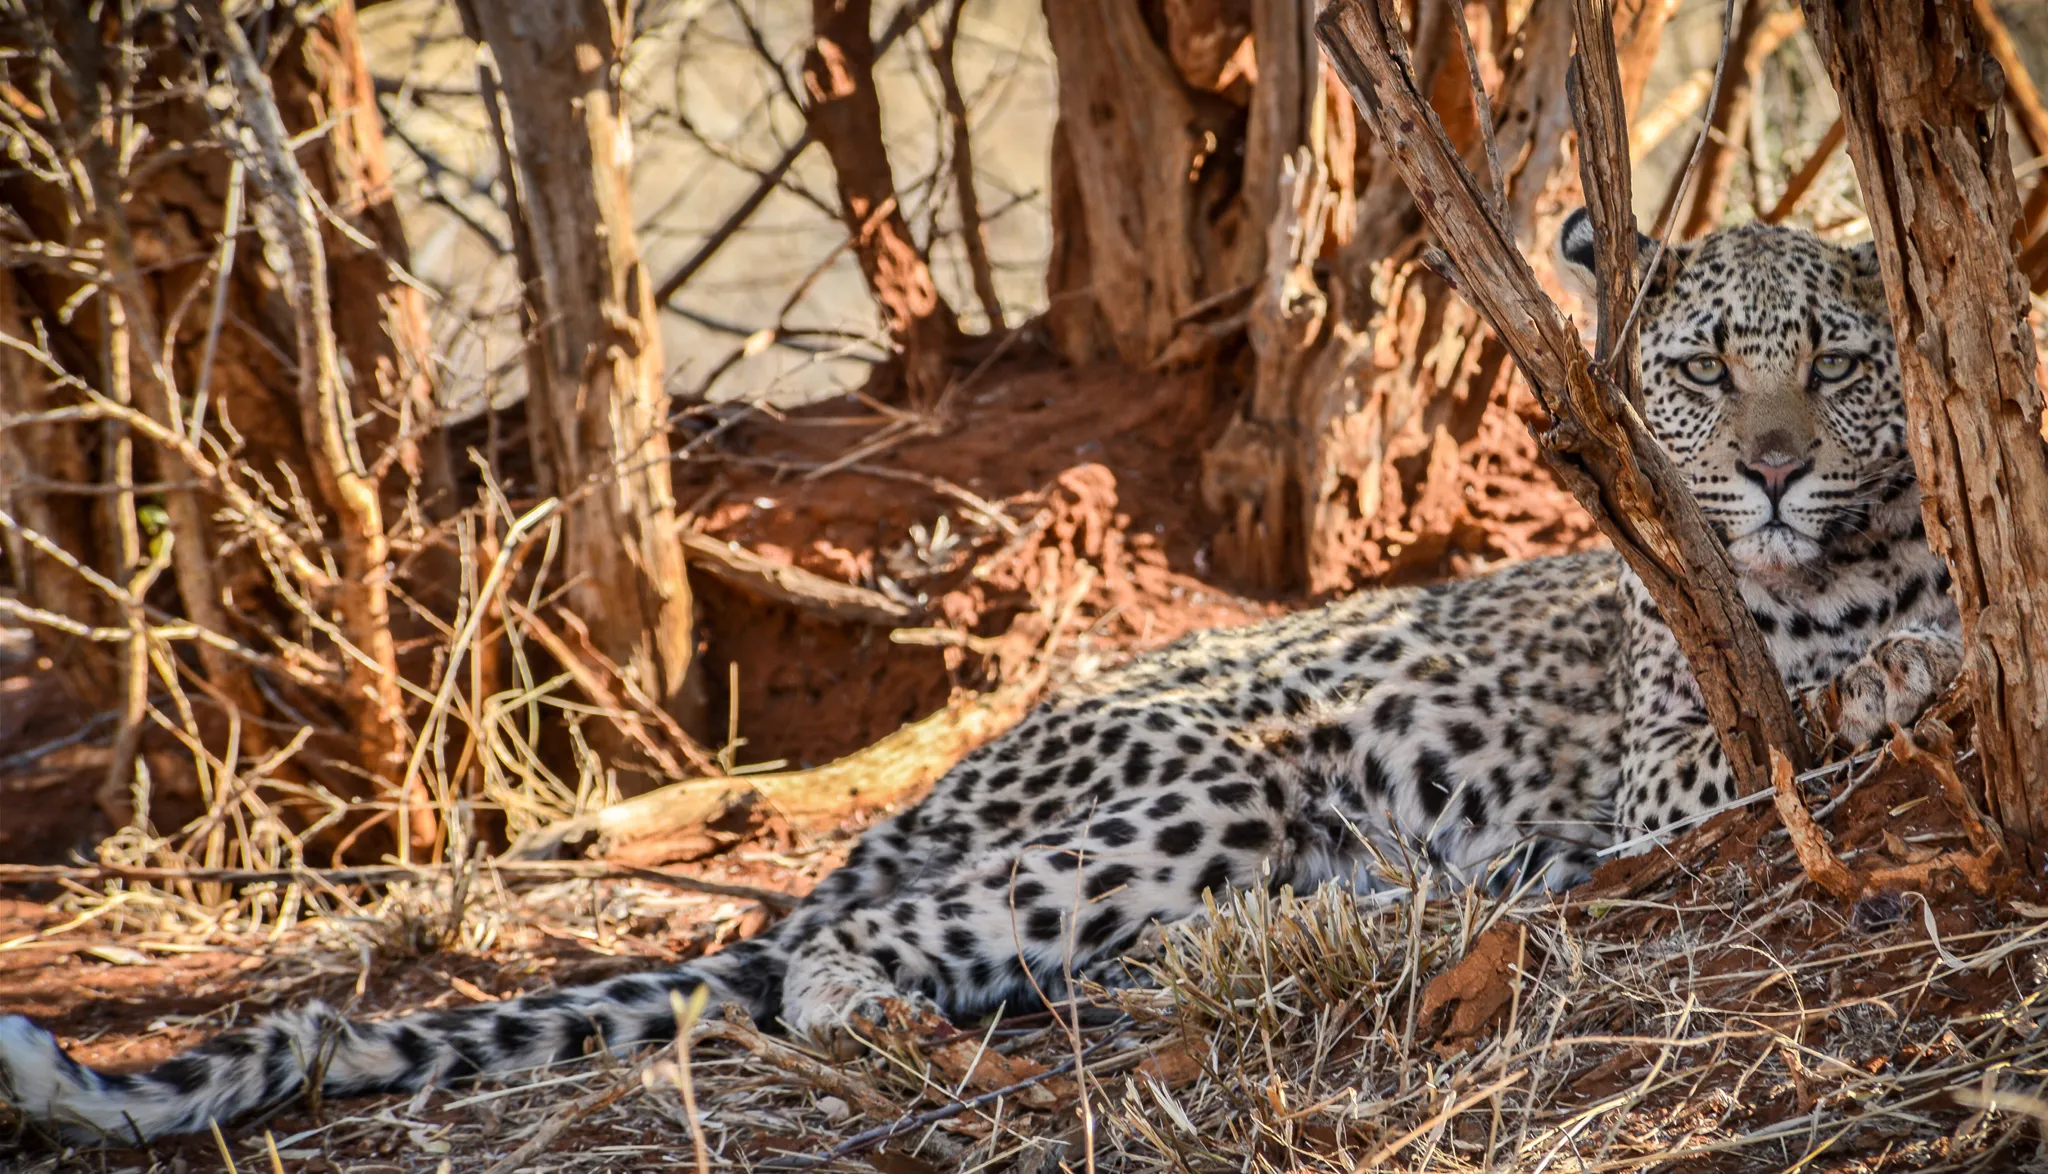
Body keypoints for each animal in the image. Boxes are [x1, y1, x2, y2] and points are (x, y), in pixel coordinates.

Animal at [0, 213, 1963, 1145]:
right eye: (1704, 370)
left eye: (1836, 364)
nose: (1771, 470)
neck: (1841, 559)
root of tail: (934, 785)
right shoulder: (1673, 761)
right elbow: (1804, 718)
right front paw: (1899, 674)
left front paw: (1921, 646)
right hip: (1211, 778)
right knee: (834, 959)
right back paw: (910, 1021)